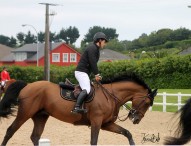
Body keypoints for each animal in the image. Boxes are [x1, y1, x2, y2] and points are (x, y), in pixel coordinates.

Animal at [0, 74, 157, 145]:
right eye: (147, 102)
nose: (136, 119)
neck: (111, 96)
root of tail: (28, 85)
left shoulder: (106, 124)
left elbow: (127, 133)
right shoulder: (96, 122)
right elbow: (94, 141)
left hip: (40, 116)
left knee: (35, 137)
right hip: (24, 113)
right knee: (10, 131)